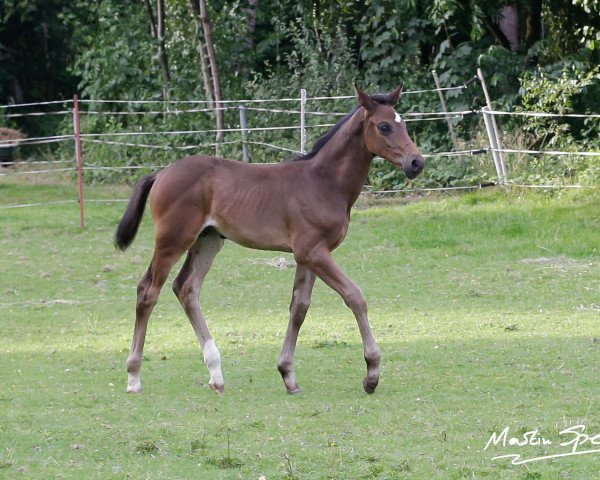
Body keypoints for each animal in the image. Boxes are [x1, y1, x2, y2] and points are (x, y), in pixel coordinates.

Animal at [115, 84, 424, 396]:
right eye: (384, 126)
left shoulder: (309, 255)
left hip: (208, 241)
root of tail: (162, 173)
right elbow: (354, 296)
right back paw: (133, 377)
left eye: (404, 123)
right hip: (173, 241)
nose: (416, 163)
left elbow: (299, 308)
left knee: (186, 288)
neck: (322, 183)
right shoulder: (313, 252)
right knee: (148, 292)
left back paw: (216, 374)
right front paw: (371, 373)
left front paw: (288, 375)